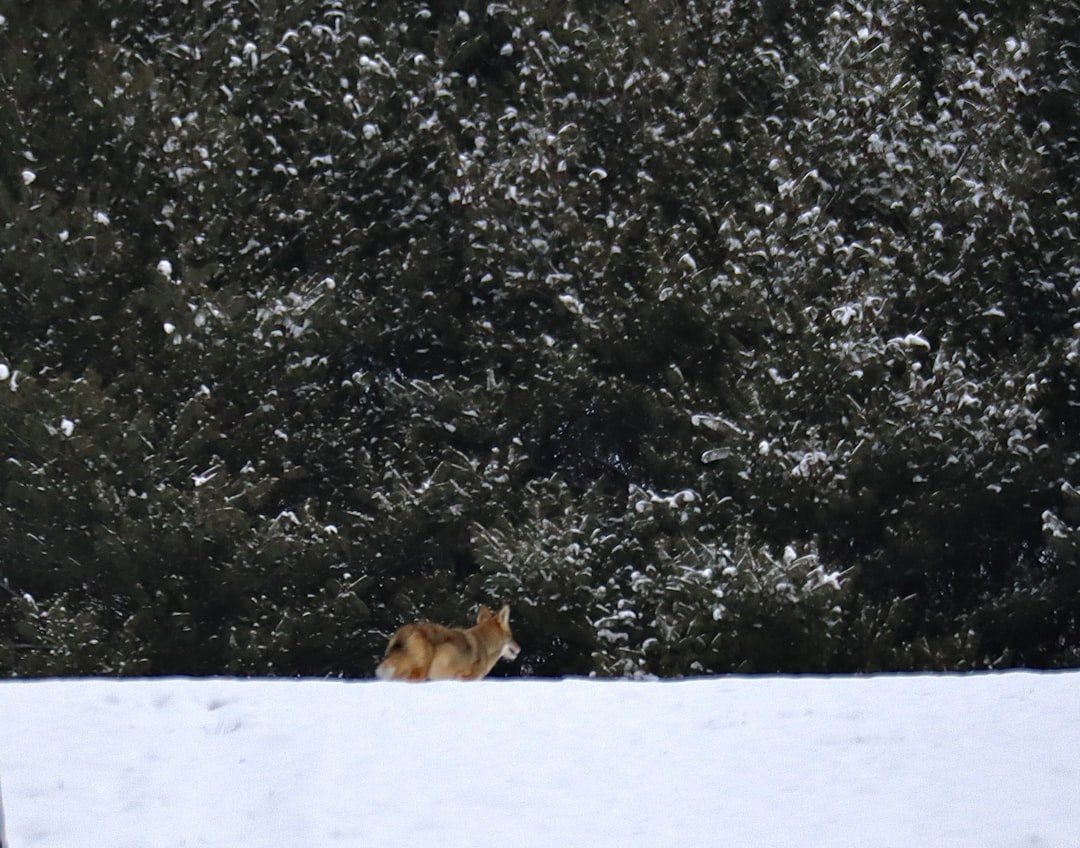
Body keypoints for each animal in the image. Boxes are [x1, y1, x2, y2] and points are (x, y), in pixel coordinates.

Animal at [375, 604, 521, 681]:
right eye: (512, 636)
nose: (519, 648)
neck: (485, 645)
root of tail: (405, 631)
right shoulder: (465, 678)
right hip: (420, 673)